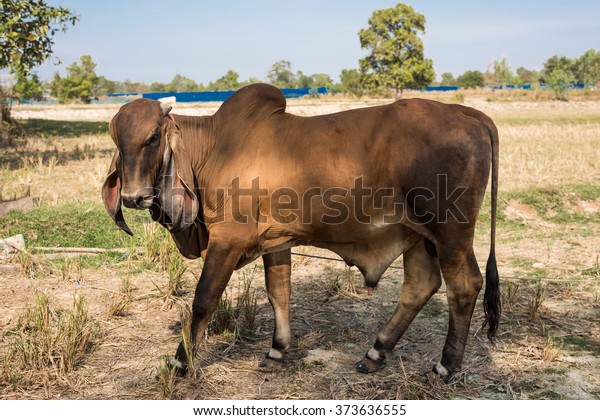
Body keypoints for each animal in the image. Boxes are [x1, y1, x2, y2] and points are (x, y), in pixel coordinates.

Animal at [103, 83, 502, 380]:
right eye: (116, 140)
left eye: (152, 137)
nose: (134, 197)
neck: (215, 148)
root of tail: (470, 113)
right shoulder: (276, 240)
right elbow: (278, 292)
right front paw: (277, 350)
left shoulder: (228, 240)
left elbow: (203, 300)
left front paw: (180, 362)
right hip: (419, 236)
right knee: (420, 286)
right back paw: (376, 352)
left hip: (451, 234)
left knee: (464, 287)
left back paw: (444, 367)